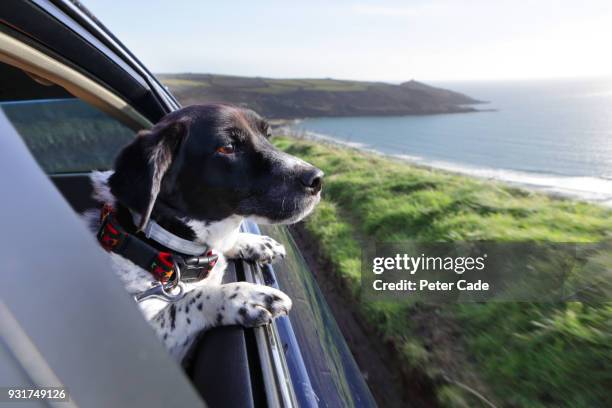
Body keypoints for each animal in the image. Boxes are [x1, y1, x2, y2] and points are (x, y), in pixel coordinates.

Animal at [89, 103, 326, 358]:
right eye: (228, 147)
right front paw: (244, 297)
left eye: (268, 135)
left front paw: (256, 243)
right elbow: (190, 300)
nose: (317, 179)